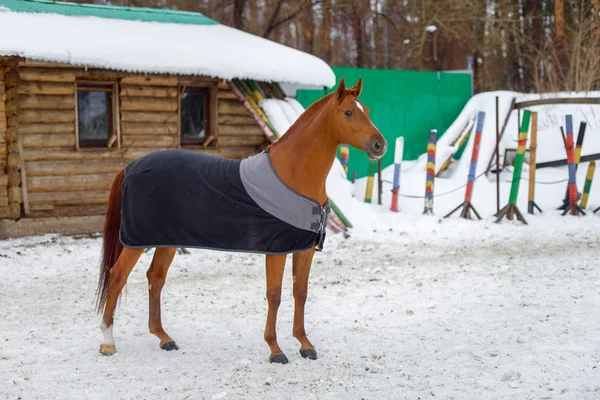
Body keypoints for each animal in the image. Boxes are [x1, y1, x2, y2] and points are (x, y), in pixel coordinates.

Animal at [92, 76, 384, 364]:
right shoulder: (276, 250)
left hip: (167, 241)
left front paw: (305, 344)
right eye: (348, 112)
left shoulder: (305, 250)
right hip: (136, 241)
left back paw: (164, 338)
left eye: (368, 111)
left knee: (156, 277)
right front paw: (275, 349)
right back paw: (107, 342)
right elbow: (275, 295)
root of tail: (130, 167)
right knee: (117, 276)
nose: (379, 145)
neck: (293, 175)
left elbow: (300, 293)